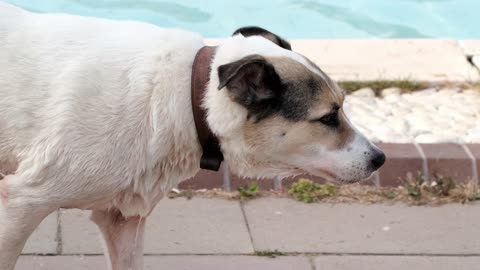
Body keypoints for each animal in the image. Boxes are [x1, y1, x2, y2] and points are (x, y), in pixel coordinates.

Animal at [0, 2, 384, 270]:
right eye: (328, 117)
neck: (189, 96)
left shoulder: (122, 219)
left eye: (342, 107)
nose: (379, 158)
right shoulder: (21, 204)